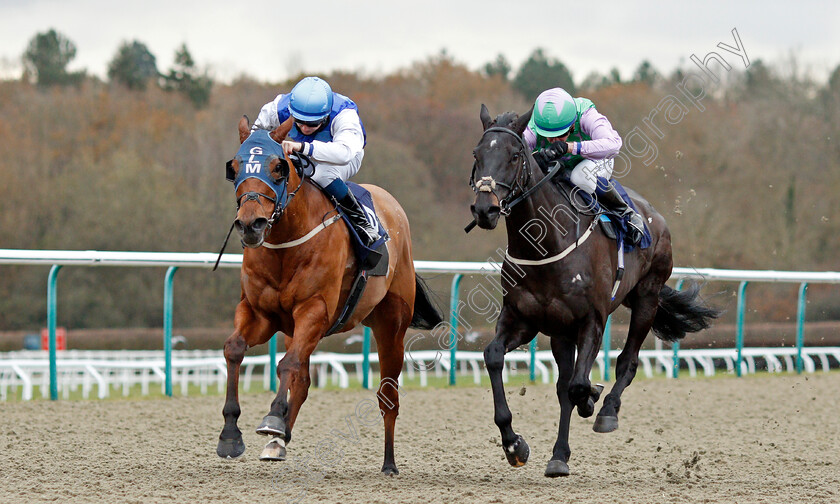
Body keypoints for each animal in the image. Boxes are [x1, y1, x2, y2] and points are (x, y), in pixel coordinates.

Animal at [213, 115, 442, 476]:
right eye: (234, 167)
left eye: (278, 167)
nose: (251, 224)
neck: (285, 245)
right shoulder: (260, 313)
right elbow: (235, 349)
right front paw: (231, 435)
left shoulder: (315, 310)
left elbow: (287, 364)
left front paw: (272, 419)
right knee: (304, 381)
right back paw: (278, 442)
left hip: (391, 326)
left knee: (387, 396)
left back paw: (389, 463)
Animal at [470, 105, 720, 476]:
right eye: (477, 154)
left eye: (514, 155)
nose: (484, 209)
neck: (544, 246)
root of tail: (655, 215)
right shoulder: (523, 320)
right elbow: (494, 356)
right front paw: (514, 444)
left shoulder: (592, 320)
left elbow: (579, 384)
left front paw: (591, 398)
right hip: (560, 330)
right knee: (563, 386)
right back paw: (559, 455)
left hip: (647, 298)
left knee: (626, 362)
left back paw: (606, 411)